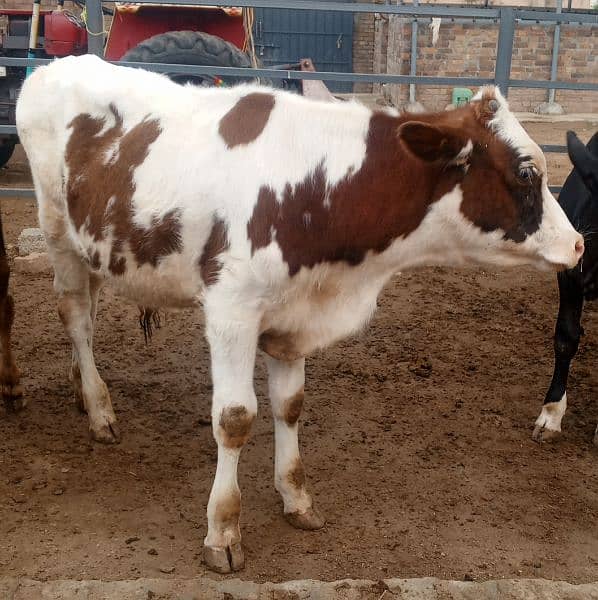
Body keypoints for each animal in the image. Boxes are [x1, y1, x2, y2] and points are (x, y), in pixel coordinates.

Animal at [16, 55, 584, 572]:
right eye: (527, 171)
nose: (579, 244)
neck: (317, 191)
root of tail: (56, 65)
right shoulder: (231, 311)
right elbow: (235, 418)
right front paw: (222, 530)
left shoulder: (294, 317)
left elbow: (289, 407)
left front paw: (295, 497)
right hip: (57, 232)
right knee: (77, 318)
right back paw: (98, 409)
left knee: (89, 309)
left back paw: (80, 389)